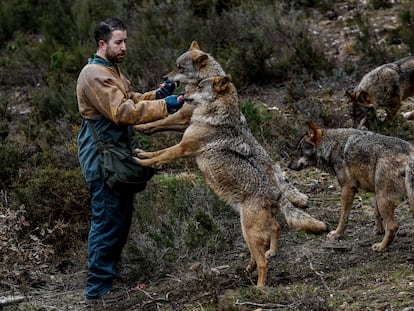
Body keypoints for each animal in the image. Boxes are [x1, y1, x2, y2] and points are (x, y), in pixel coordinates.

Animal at [134, 39, 308, 210]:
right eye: (175, 66)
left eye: (180, 67)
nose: (164, 77)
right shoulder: (187, 122)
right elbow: (161, 126)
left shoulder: (183, 117)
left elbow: (161, 122)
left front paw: (140, 127)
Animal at [134, 76, 328, 290]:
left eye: (199, 86)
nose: (182, 94)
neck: (214, 116)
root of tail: (274, 193)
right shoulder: (182, 145)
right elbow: (158, 153)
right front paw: (141, 153)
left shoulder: (183, 148)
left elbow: (159, 154)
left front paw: (139, 160)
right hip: (250, 231)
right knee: (273, 232)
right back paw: (256, 263)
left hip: (248, 232)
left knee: (263, 262)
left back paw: (258, 288)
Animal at [288, 120, 414, 252]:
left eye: (300, 149)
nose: (288, 166)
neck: (331, 145)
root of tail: (410, 157)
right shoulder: (375, 192)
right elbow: (376, 214)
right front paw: (379, 231)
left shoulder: (347, 188)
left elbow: (343, 216)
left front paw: (337, 234)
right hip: (384, 196)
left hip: (383, 198)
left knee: (393, 226)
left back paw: (381, 247)